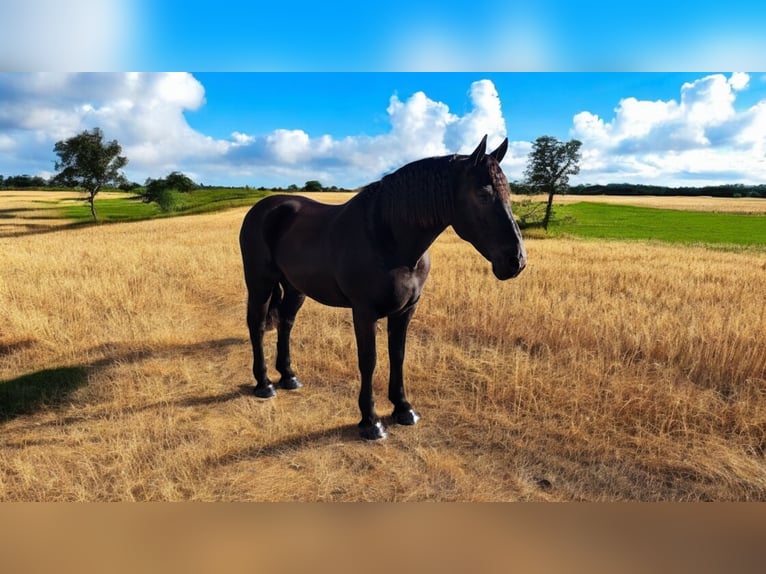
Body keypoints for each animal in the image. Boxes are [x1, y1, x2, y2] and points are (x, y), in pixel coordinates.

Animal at [240, 136, 528, 440]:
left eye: (509, 193)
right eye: (482, 195)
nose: (516, 261)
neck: (386, 236)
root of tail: (264, 208)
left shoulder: (405, 310)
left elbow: (397, 355)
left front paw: (403, 409)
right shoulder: (364, 313)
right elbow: (369, 360)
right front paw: (371, 421)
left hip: (295, 288)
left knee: (285, 324)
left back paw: (288, 376)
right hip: (260, 282)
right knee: (256, 325)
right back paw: (264, 384)